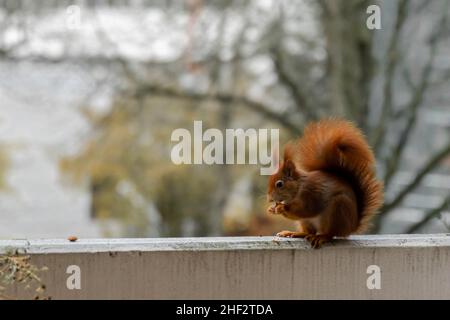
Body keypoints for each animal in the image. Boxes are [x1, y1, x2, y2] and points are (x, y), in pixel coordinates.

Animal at [268, 119, 384, 249]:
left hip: (337, 210)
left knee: (330, 234)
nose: (269, 198)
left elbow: (308, 210)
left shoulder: (312, 194)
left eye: (279, 184)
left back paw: (321, 237)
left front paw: (281, 208)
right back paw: (295, 233)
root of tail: (351, 226)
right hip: (307, 221)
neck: (299, 188)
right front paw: (272, 209)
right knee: (309, 232)